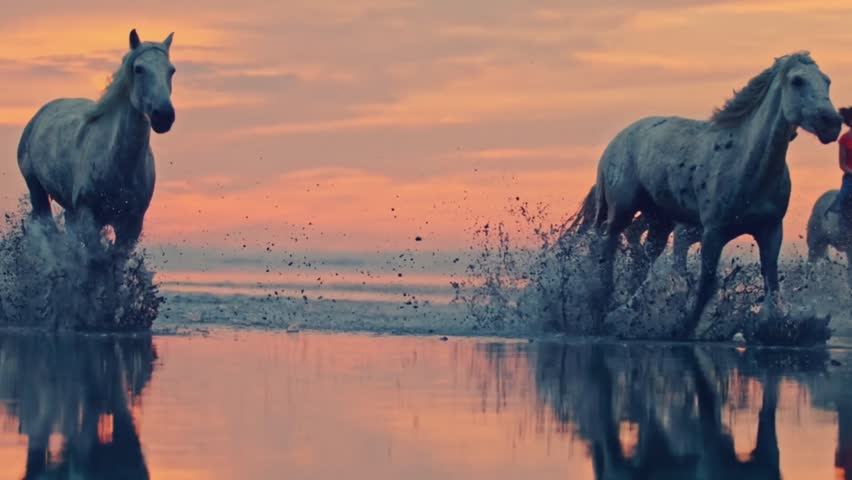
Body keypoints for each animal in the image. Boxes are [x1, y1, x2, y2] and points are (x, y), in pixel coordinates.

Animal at [16, 28, 176, 253]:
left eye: (171, 71)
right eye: (139, 69)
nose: (164, 116)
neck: (117, 165)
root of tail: (39, 115)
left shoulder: (132, 225)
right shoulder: (89, 217)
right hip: (36, 190)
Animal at [568, 52, 844, 338]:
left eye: (826, 81)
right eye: (797, 81)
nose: (831, 123)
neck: (746, 165)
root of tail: (617, 140)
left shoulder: (770, 230)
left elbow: (772, 283)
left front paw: (784, 327)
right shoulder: (713, 232)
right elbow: (706, 284)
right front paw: (684, 327)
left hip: (660, 221)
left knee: (642, 258)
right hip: (621, 210)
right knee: (607, 246)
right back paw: (601, 305)